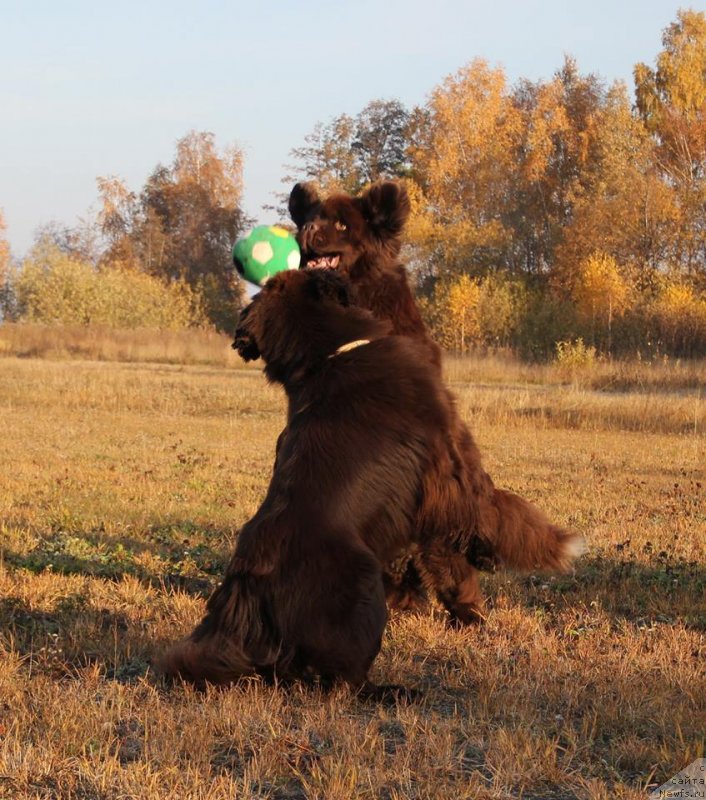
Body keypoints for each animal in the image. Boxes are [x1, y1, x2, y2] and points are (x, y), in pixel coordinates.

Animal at [161, 268, 584, 692]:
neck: (328, 354)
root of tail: (247, 593)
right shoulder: (450, 464)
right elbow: (495, 511)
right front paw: (513, 552)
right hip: (362, 590)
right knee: (344, 680)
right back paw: (400, 692)